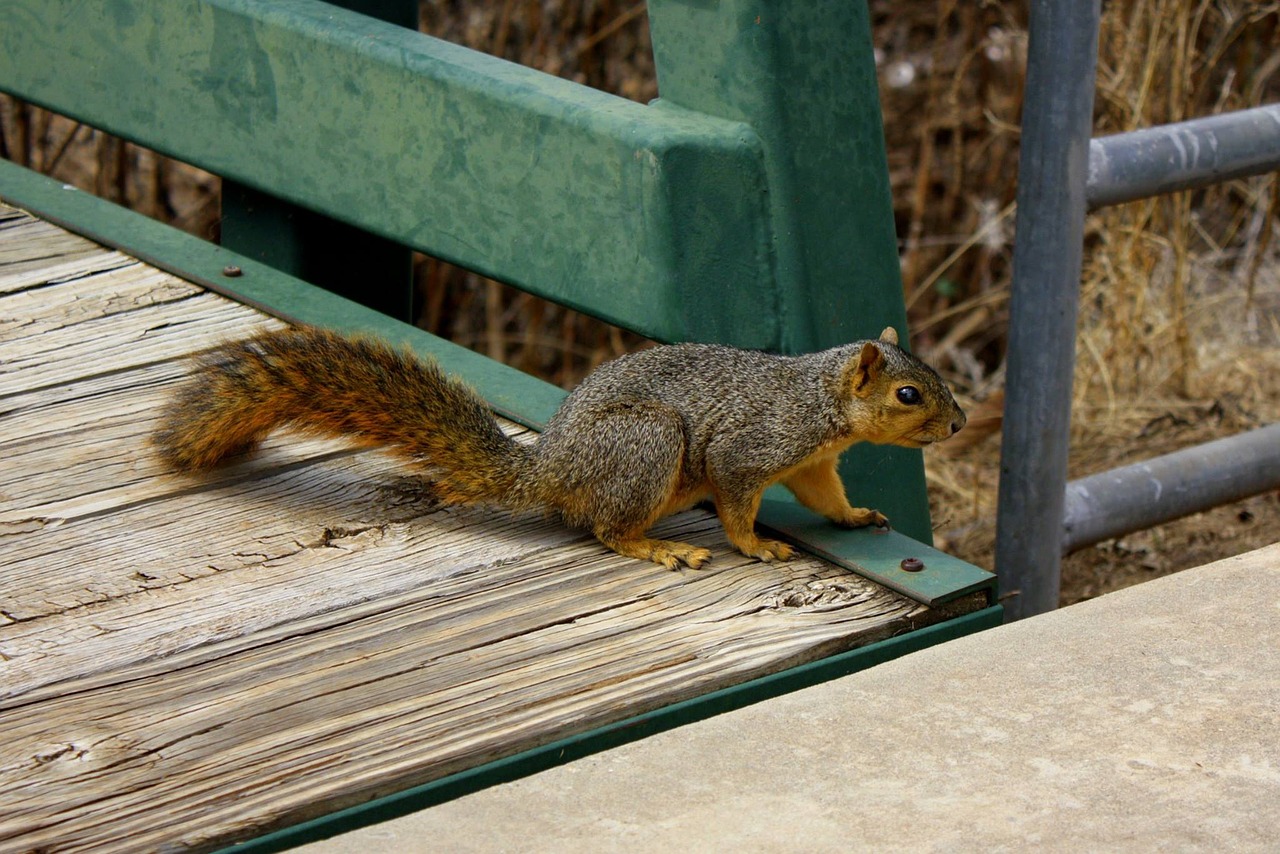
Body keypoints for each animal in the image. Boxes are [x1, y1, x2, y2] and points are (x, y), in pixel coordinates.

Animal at [152, 327, 962, 568]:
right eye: (908, 395)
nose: (957, 425)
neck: (819, 399)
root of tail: (554, 468)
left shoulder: (815, 462)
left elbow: (828, 497)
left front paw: (856, 518)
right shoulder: (749, 448)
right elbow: (736, 503)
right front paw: (757, 546)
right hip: (646, 445)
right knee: (605, 528)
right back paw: (657, 547)